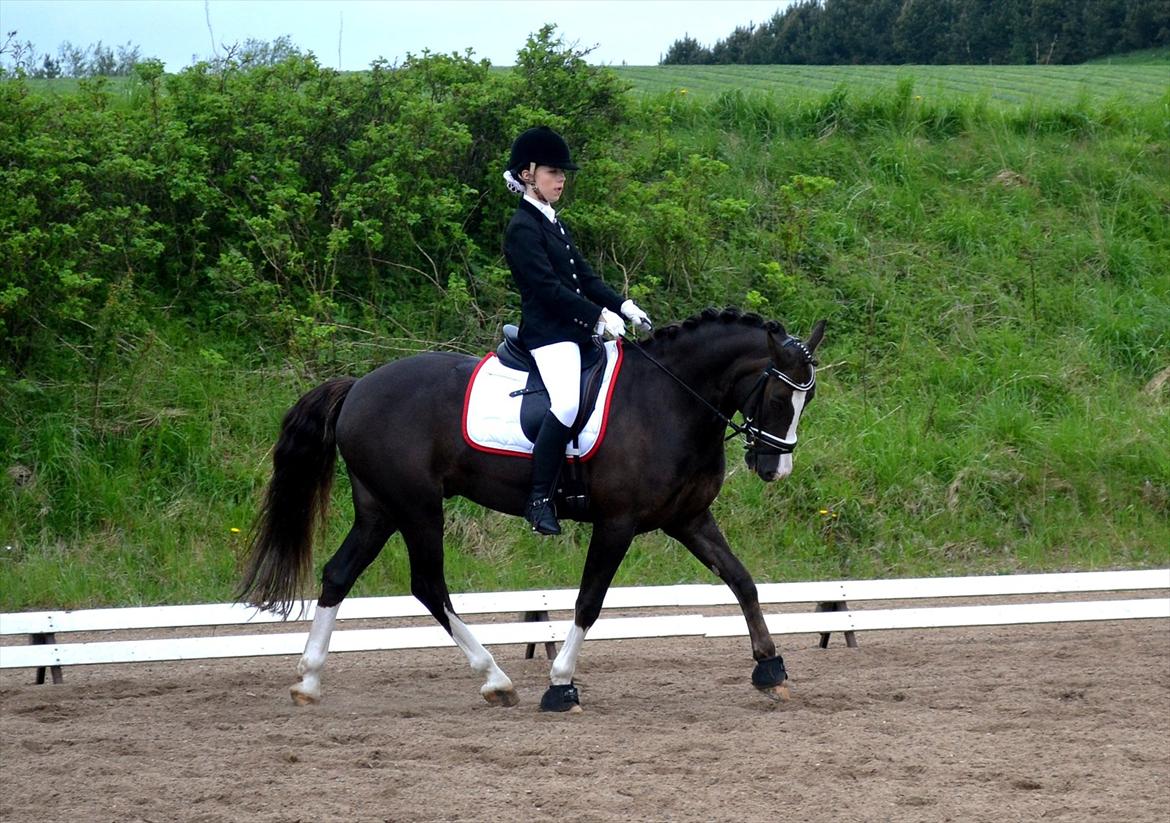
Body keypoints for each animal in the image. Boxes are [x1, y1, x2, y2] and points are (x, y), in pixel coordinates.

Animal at [235, 306, 823, 711]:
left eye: (807, 400)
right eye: (779, 397)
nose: (775, 468)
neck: (670, 400)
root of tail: (359, 385)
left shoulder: (688, 519)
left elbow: (742, 580)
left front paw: (770, 667)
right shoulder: (618, 523)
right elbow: (589, 601)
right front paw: (561, 684)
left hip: (379, 507)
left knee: (339, 573)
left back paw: (309, 680)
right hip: (417, 506)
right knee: (428, 584)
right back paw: (495, 679)